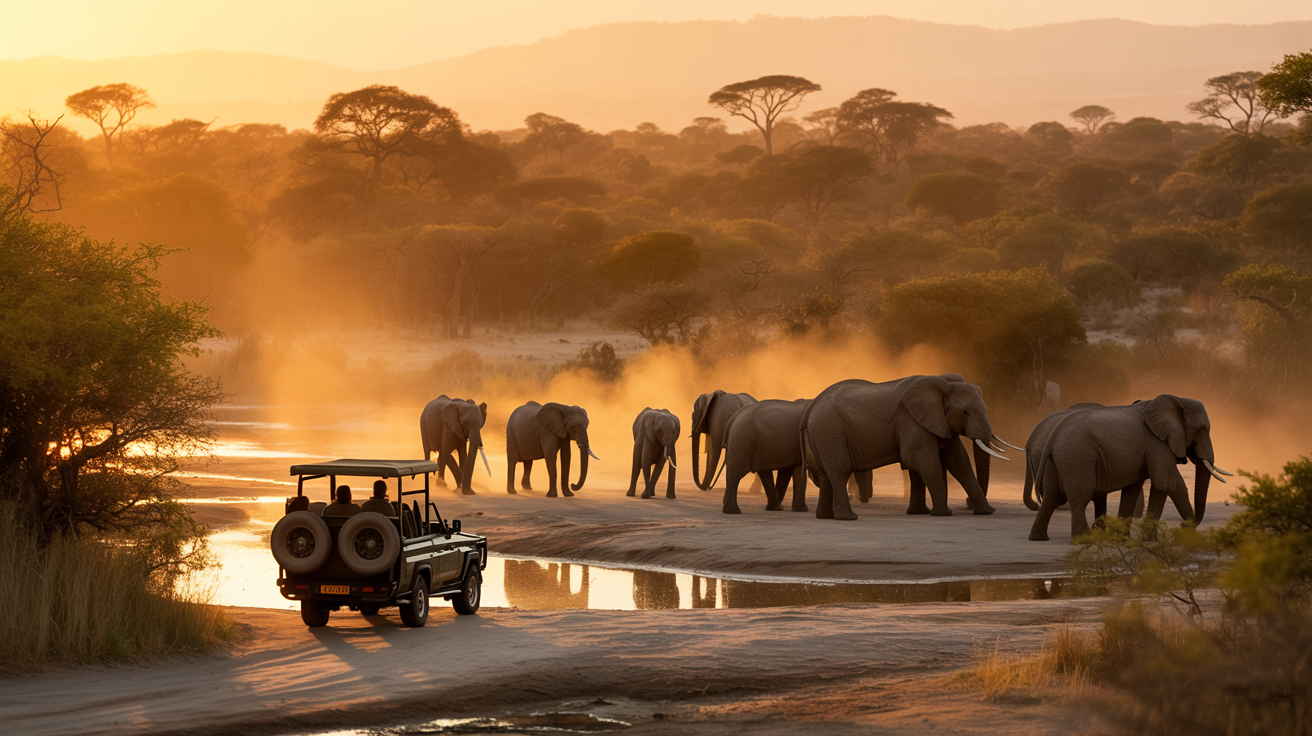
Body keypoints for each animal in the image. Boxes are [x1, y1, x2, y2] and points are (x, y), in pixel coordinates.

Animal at [800, 374, 1014, 520]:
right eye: (965, 412)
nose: (967, 504)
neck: (943, 385)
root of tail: (810, 408)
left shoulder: (939, 423)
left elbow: (959, 462)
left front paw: (986, 512)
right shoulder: (912, 421)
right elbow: (924, 460)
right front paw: (943, 514)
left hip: (823, 435)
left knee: (827, 475)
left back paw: (825, 516)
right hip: (831, 432)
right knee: (839, 471)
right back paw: (849, 518)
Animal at [1028, 394, 1233, 542]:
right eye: (1201, 430)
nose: (1182, 526)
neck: (1179, 400)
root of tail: (1053, 436)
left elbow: (1145, 488)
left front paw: (1134, 539)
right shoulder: (1156, 442)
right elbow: (1166, 481)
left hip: (1058, 460)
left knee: (1051, 497)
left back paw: (1038, 538)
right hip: (1077, 457)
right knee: (1080, 497)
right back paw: (1084, 538)